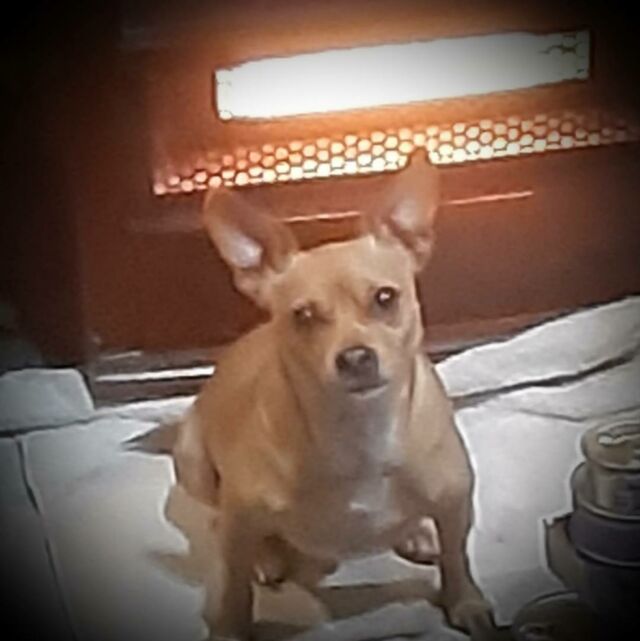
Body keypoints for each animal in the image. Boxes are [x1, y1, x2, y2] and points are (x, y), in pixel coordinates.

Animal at [170, 151, 494, 640]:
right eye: (303, 316)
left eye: (385, 298)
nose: (356, 357)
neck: (358, 430)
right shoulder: (239, 521)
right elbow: (234, 589)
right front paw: (230, 628)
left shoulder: (456, 503)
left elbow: (458, 559)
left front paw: (466, 602)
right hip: (193, 464)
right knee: (223, 522)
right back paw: (268, 554)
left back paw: (415, 532)